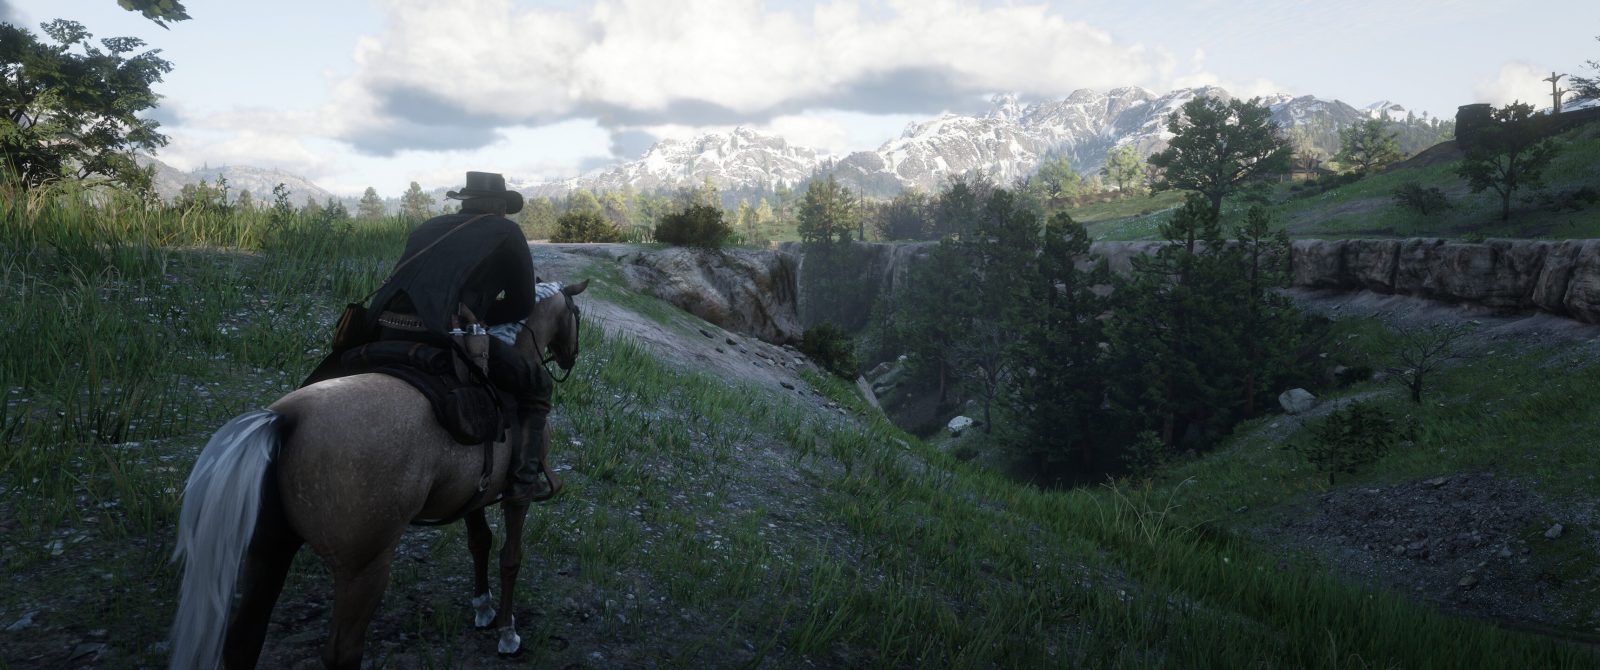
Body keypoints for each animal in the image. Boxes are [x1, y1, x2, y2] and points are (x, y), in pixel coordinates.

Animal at [167, 279, 589, 669]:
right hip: (362, 570)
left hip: (268, 550)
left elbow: (479, 543)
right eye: (576, 314)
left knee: (245, 637)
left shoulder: (475, 492)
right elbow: (509, 557)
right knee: (342, 652)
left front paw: (483, 608)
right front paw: (507, 631)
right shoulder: (517, 496)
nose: (569, 357)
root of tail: (286, 419)